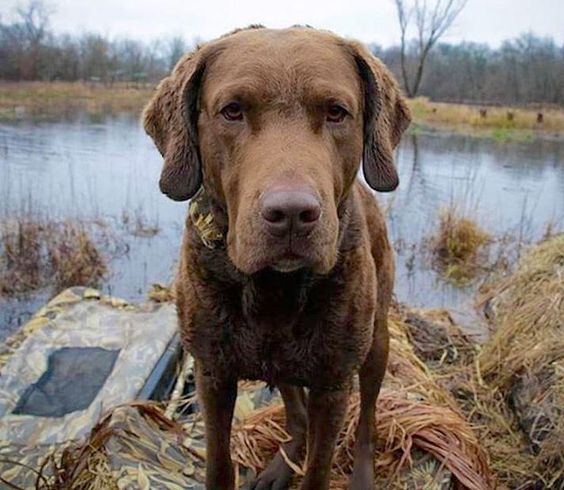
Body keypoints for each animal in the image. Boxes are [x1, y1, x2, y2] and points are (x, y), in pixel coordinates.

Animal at [143, 25, 410, 490]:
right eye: (232, 111)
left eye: (337, 112)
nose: (291, 214)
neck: (274, 287)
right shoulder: (212, 374)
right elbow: (218, 465)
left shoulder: (333, 384)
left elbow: (320, 469)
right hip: (285, 364)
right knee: (297, 413)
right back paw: (278, 468)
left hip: (376, 340)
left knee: (368, 416)